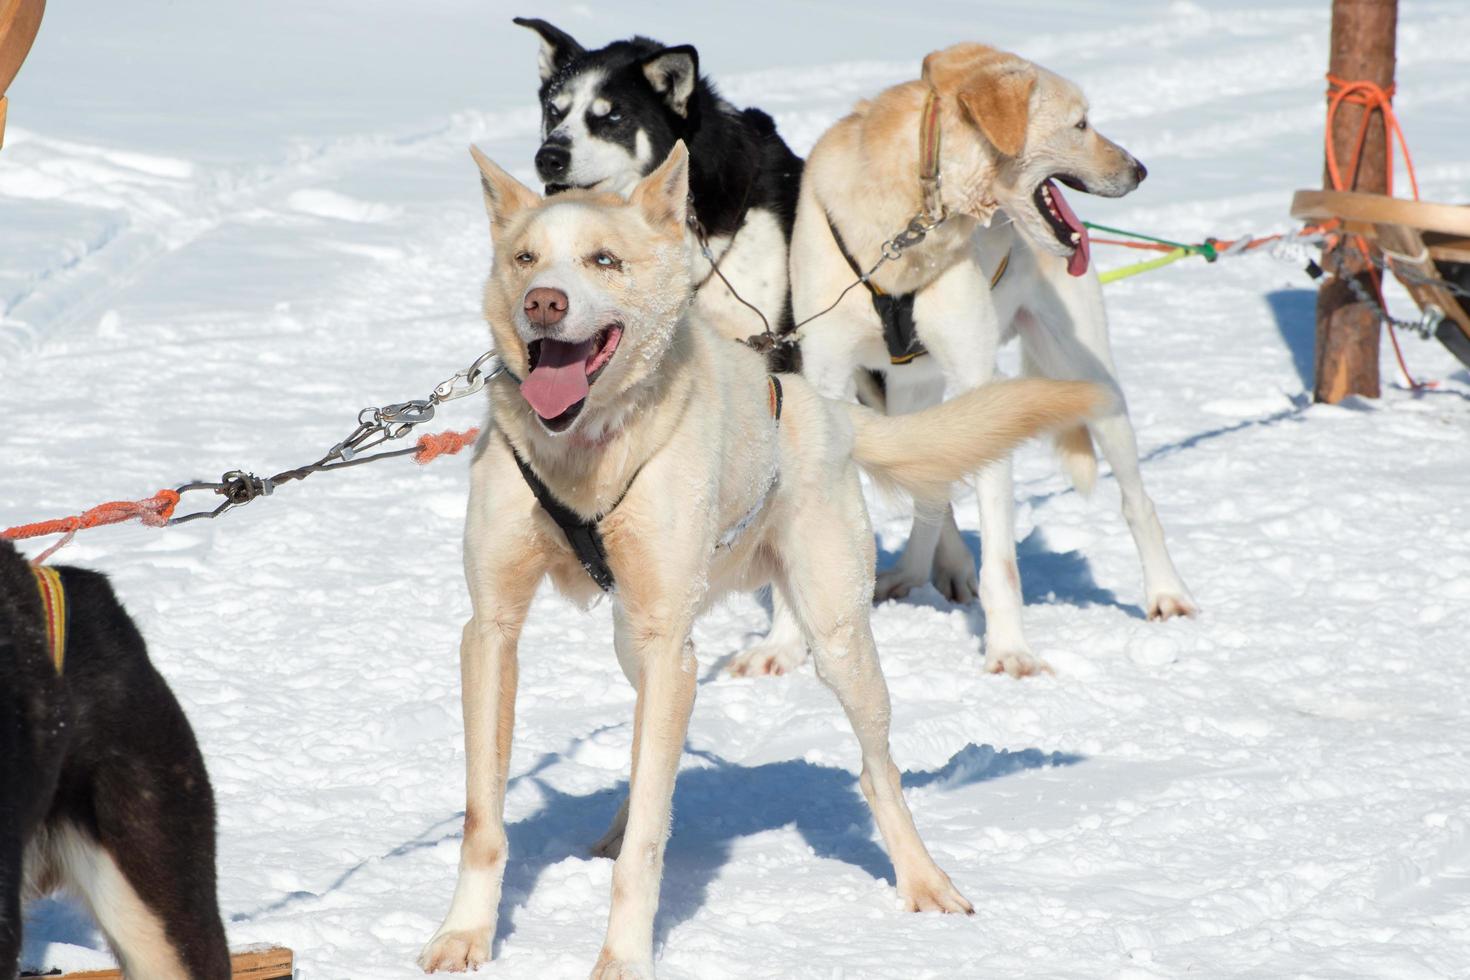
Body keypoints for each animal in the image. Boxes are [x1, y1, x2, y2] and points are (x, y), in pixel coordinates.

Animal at [417, 141, 1105, 975]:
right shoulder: (493, 631)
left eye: (602, 259)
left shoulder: (666, 640)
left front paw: (624, 958)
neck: (582, 452)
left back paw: (924, 879)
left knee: (876, 772)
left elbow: (649, 841)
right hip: (638, 639)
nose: (543, 302)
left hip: (834, 637)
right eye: (525, 258)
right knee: (656, 746)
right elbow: (485, 817)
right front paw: (464, 934)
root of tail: (829, 411)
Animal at [735, 44, 1193, 681]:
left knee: (1137, 501)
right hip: (910, 399)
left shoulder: (982, 385)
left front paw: (1010, 651)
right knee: (929, 488)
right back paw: (909, 572)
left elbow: (1002, 562)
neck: (906, 231)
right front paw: (783, 642)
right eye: (1081, 124)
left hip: (1092, 385)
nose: (1139, 169)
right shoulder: (824, 376)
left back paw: (1166, 593)